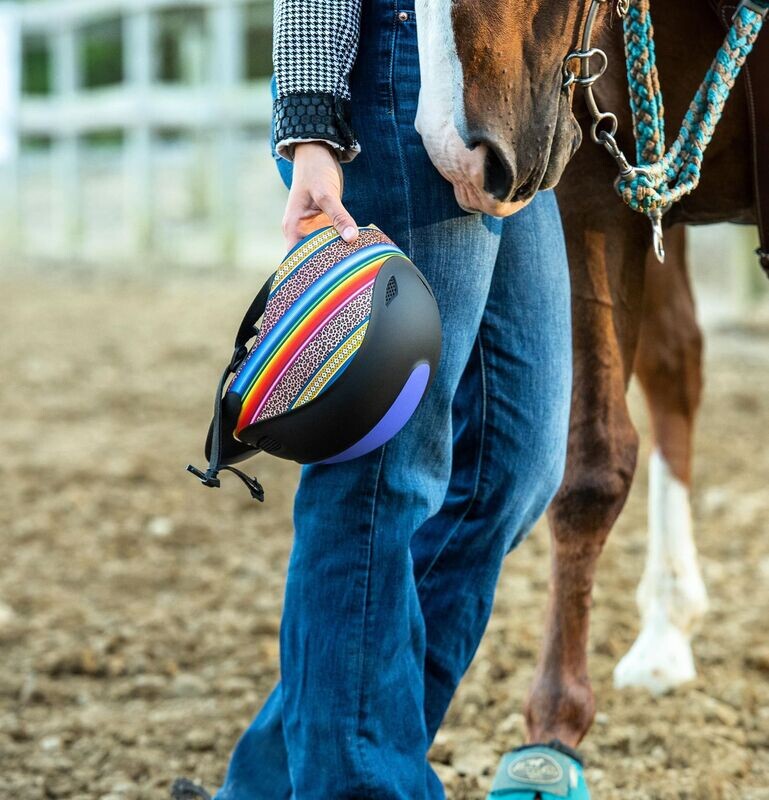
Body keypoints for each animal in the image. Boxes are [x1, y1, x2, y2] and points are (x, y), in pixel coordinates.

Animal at [414, 0, 756, 764]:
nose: (460, 155)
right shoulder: (591, 185)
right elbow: (591, 466)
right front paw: (552, 730)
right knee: (674, 364)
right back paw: (664, 630)